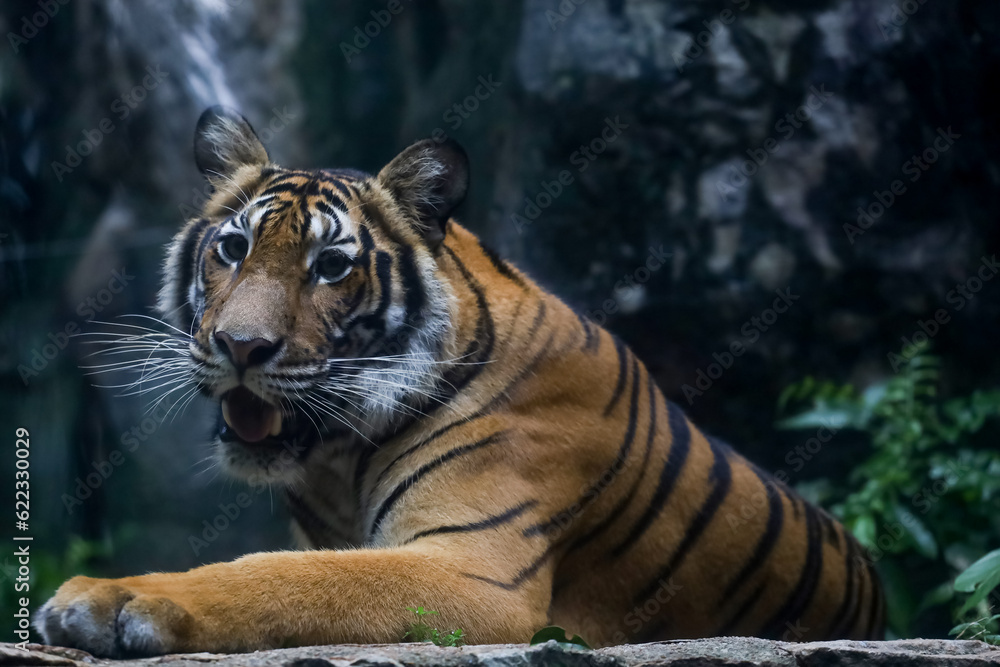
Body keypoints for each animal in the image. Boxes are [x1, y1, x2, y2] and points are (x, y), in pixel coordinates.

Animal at [37, 106, 884, 657]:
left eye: (331, 265)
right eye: (233, 248)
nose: (240, 346)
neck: (335, 460)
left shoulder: (477, 570)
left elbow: (283, 575)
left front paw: (109, 598)